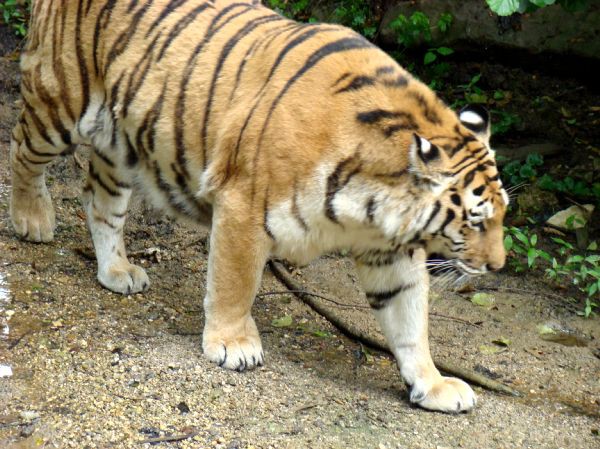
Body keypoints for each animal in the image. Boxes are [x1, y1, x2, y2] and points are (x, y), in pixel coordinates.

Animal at [9, 0, 506, 412]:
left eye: (501, 215)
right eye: (476, 220)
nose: (498, 266)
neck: (371, 204)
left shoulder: (389, 249)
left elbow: (410, 322)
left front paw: (433, 385)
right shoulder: (243, 208)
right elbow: (235, 284)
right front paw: (233, 345)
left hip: (121, 142)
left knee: (100, 198)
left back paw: (116, 272)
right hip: (59, 105)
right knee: (21, 147)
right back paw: (31, 219)